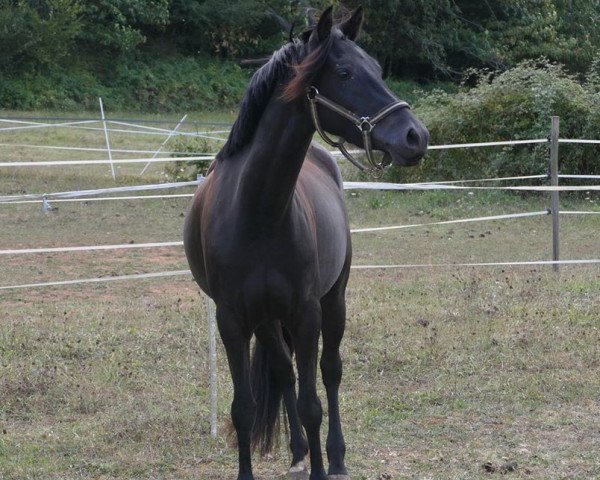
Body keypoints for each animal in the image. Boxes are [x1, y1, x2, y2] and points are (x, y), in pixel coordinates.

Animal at [185, 7, 428, 480]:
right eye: (345, 72)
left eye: (378, 69)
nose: (415, 136)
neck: (258, 210)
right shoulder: (232, 320)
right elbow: (245, 409)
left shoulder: (306, 312)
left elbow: (312, 403)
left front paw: (324, 464)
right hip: (267, 320)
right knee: (284, 373)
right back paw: (298, 452)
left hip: (334, 300)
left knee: (329, 372)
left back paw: (335, 457)